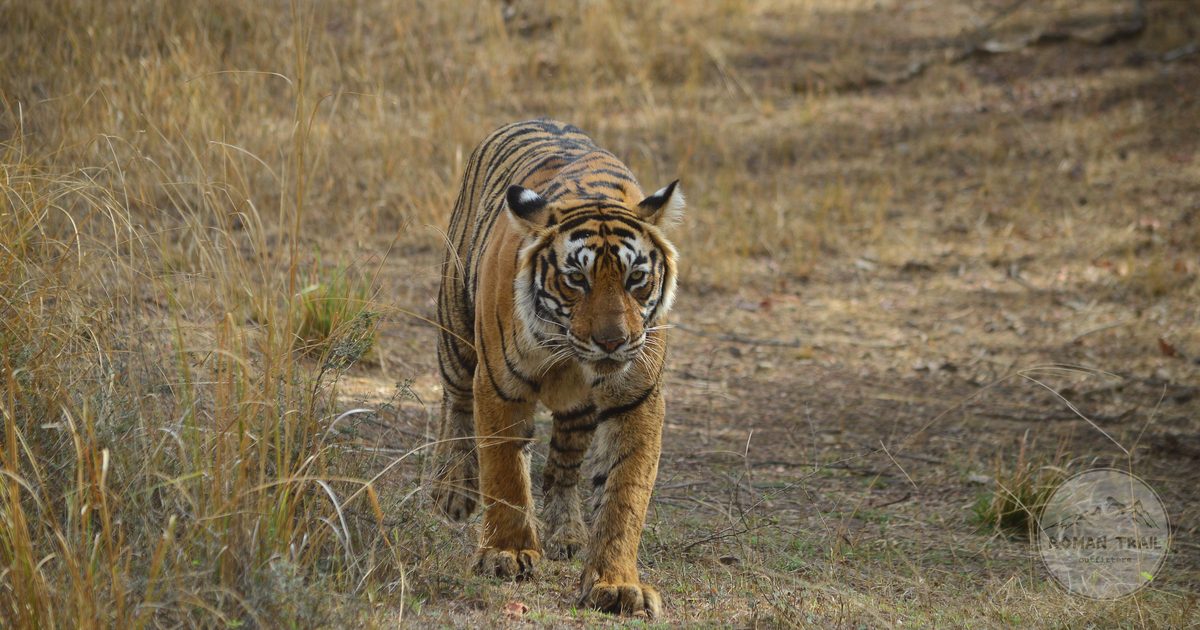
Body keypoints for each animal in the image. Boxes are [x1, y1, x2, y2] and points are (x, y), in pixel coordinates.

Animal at [428, 119, 683, 618]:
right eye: (576, 279)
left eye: (636, 279)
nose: (612, 341)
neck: (569, 353)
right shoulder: (500, 385)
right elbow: (505, 472)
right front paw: (506, 554)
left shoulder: (636, 398)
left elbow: (625, 494)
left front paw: (616, 584)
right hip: (457, 334)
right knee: (456, 404)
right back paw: (455, 490)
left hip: (579, 411)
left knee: (563, 467)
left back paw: (567, 533)